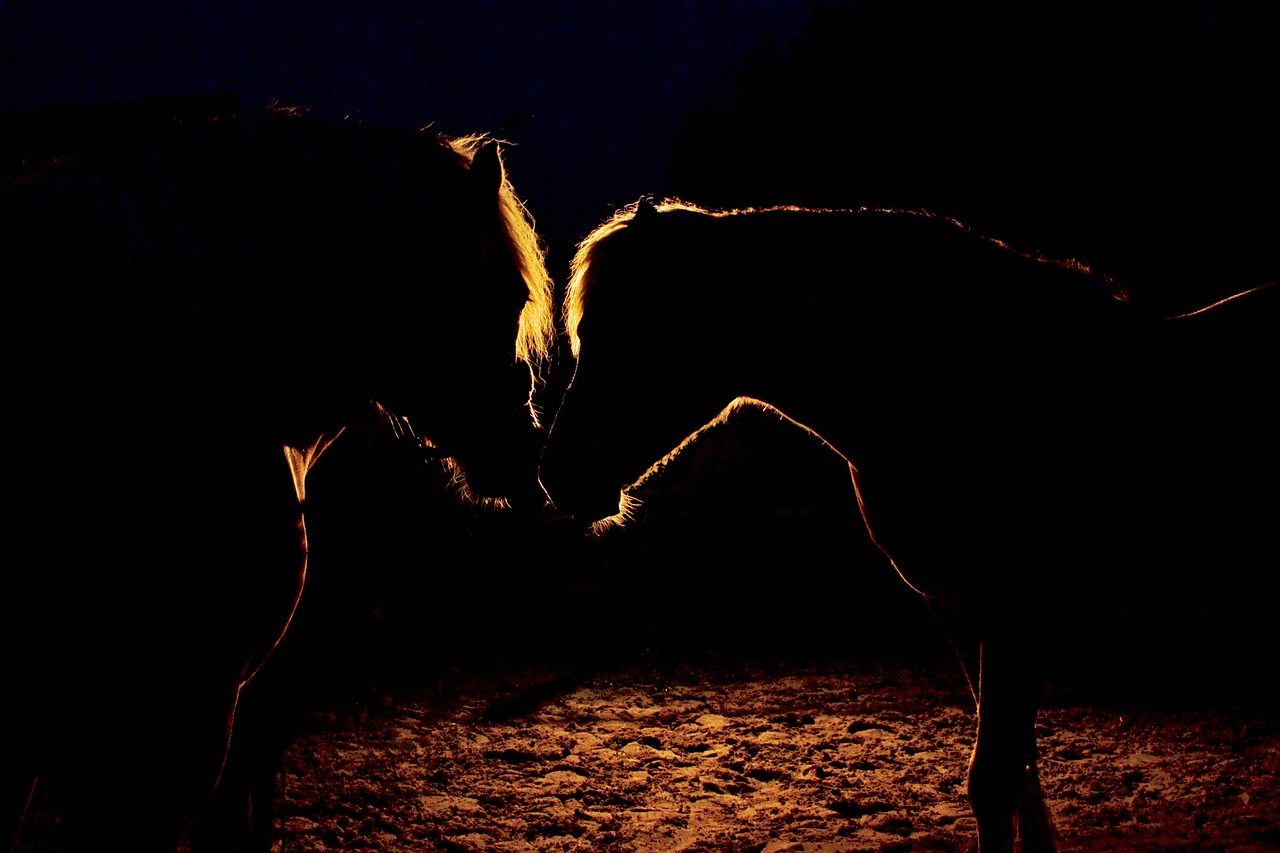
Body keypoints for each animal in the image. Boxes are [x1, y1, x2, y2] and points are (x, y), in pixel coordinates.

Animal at [540, 197, 1280, 850]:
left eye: (640, 329)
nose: (558, 474)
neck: (959, 383)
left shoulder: (1016, 606)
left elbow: (996, 779)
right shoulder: (959, 606)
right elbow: (1016, 768)